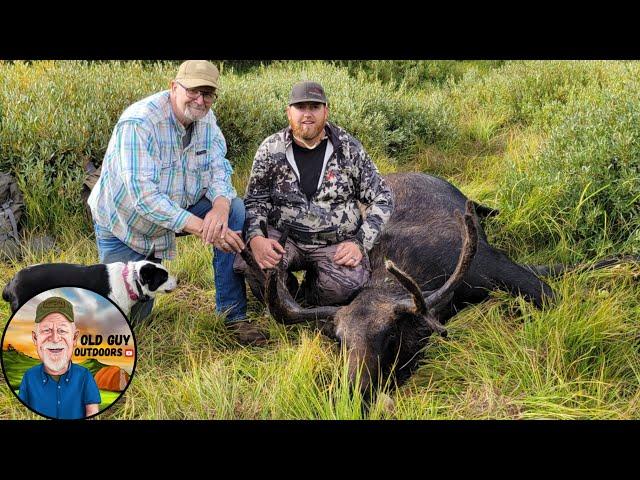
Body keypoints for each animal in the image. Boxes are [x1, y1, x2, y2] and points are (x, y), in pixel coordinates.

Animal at [239, 172, 632, 398]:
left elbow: (558, 285)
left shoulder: (498, 266)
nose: (350, 392)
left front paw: (623, 260)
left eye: (390, 337)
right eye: (339, 341)